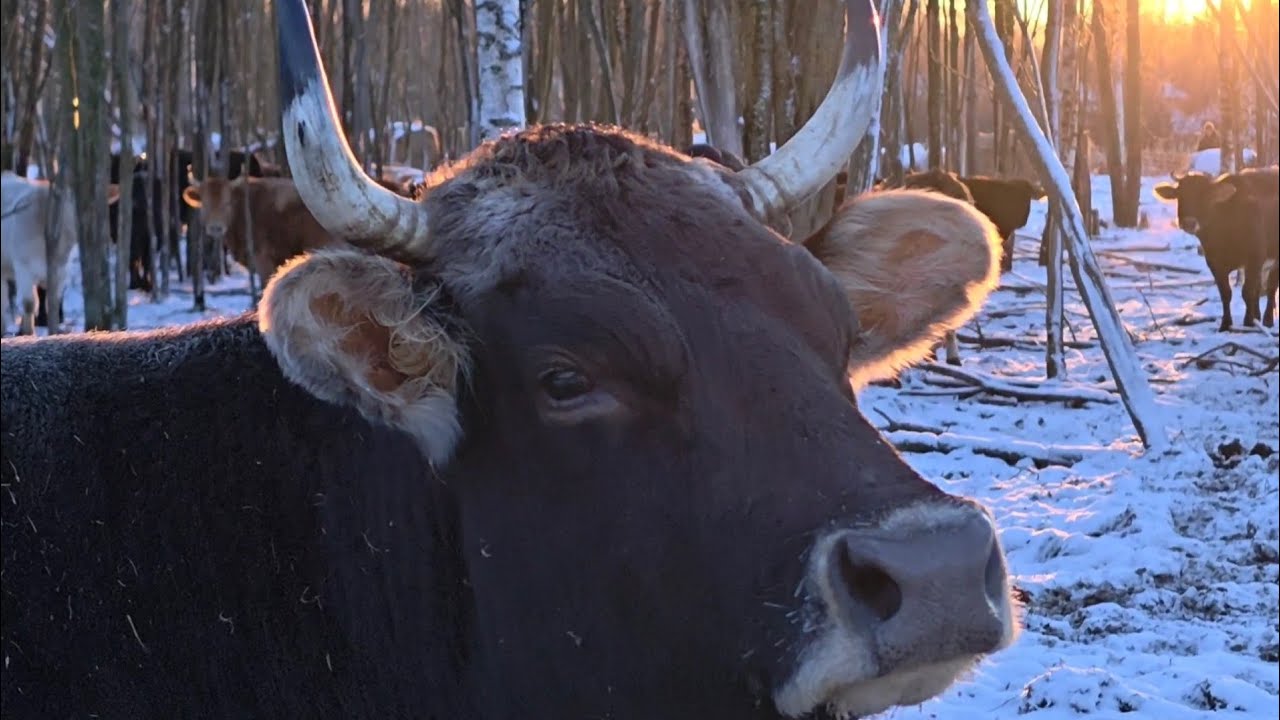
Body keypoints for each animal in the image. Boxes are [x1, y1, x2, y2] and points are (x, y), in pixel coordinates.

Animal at [1, 171, 119, 335]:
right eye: (73, 201)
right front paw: (28, 333)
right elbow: (29, 303)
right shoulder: (23, 266)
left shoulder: (61, 271)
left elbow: (53, 302)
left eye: (100, 207)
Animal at [1153, 167, 1280, 329]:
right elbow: (1226, 293)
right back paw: (1258, 316)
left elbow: (1247, 292)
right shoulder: (1214, 262)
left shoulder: (1254, 258)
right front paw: (1226, 324)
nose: (1189, 222)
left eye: (1205, 195)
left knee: (1271, 287)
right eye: (1180, 195)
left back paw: (1267, 320)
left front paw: (1248, 322)